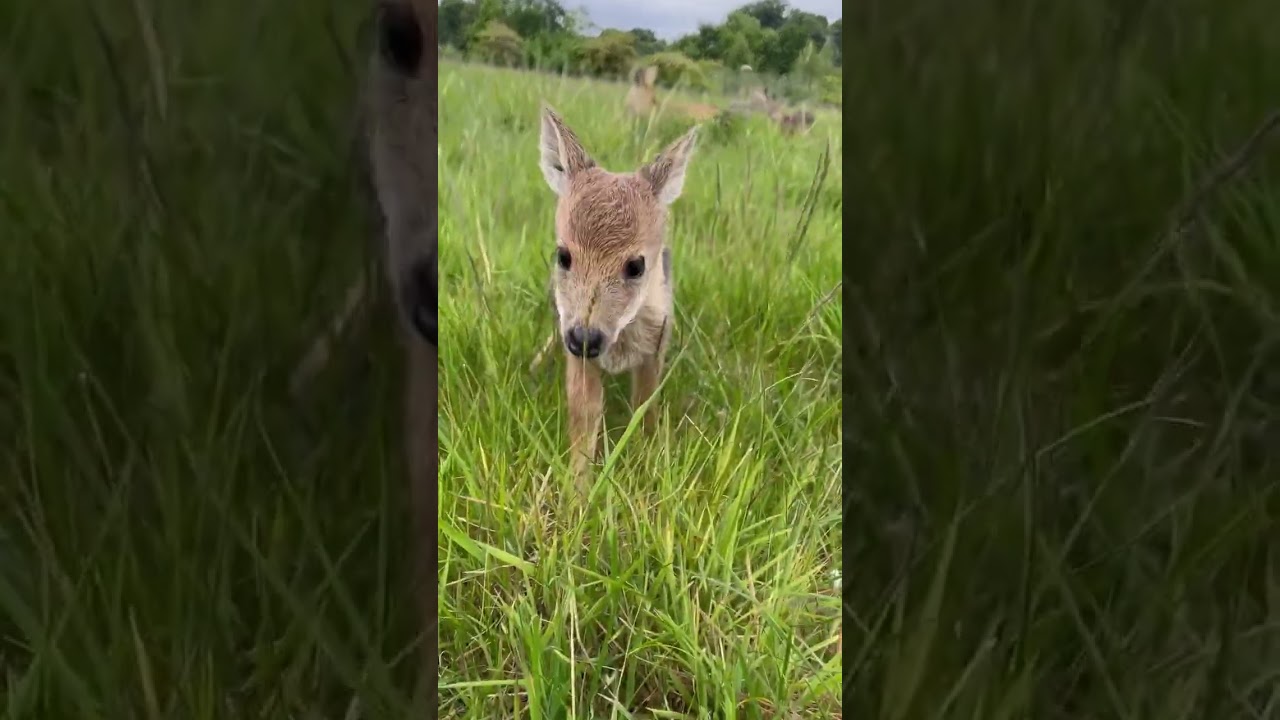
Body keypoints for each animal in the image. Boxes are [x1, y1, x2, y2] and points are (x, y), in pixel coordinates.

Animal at [535, 106, 699, 488]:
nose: (584, 338)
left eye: (636, 265)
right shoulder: (579, 356)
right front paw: (577, 492)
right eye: (563, 255)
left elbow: (645, 407)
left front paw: (648, 465)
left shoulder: (655, 348)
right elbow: (585, 418)